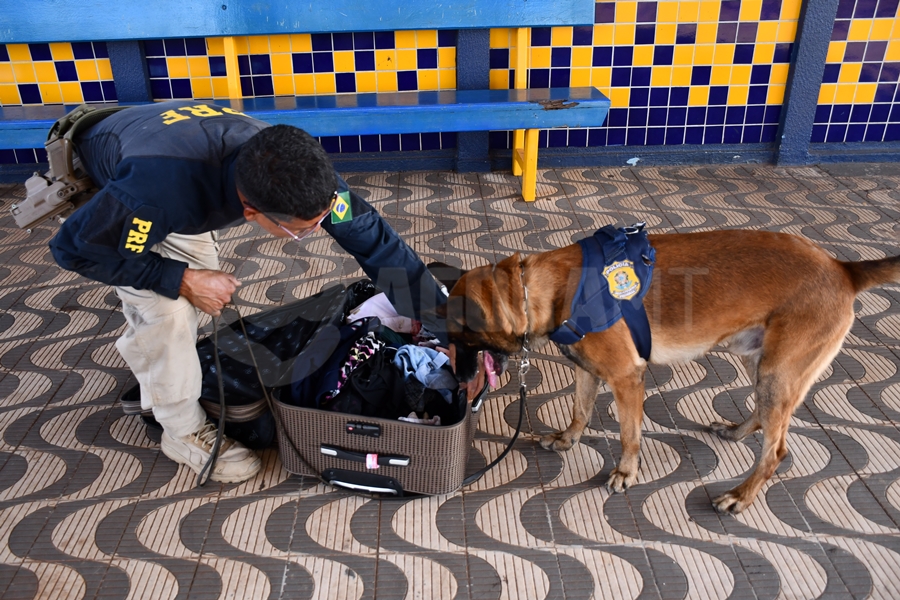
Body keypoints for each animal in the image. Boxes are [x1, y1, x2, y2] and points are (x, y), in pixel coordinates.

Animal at [442, 232, 900, 512]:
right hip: (760, 362)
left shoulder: (627, 377)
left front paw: (626, 472)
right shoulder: (588, 370)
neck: (539, 289)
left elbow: (629, 433)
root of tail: (843, 267)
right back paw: (736, 432)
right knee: (764, 418)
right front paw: (568, 439)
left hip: (779, 373)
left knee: (776, 451)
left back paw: (740, 495)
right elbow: (580, 409)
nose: (457, 381)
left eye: (462, 338)